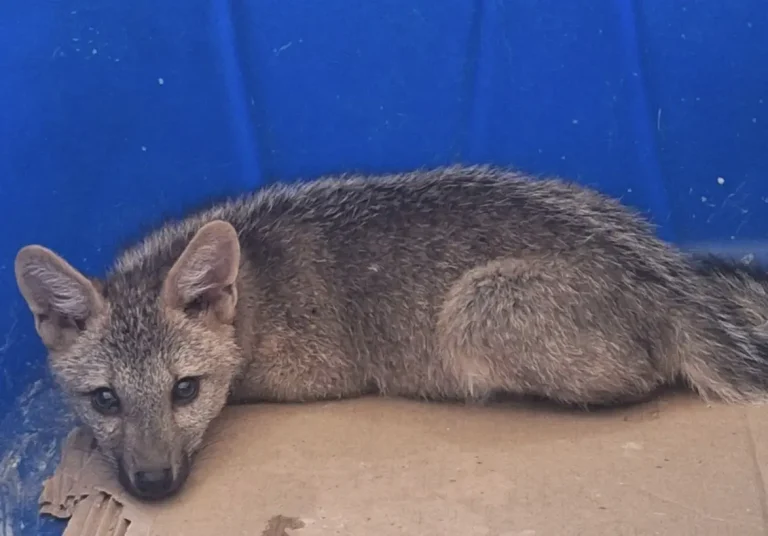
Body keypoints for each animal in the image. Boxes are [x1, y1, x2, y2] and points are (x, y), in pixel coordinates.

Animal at [13, 165, 768, 502]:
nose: (152, 485)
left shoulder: (307, 377)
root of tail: (668, 277)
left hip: (473, 309)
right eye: (105, 400)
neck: (255, 277)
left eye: (185, 391)